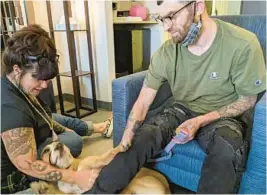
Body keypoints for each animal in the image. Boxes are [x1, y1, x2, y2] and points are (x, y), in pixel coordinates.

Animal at [30, 141, 171, 194]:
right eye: (46, 150)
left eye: (59, 142)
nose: (59, 144)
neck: (70, 169)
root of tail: (167, 189)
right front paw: (40, 186)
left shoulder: (99, 161)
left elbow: (111, 152)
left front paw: (121, 146)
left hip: (133, 184)